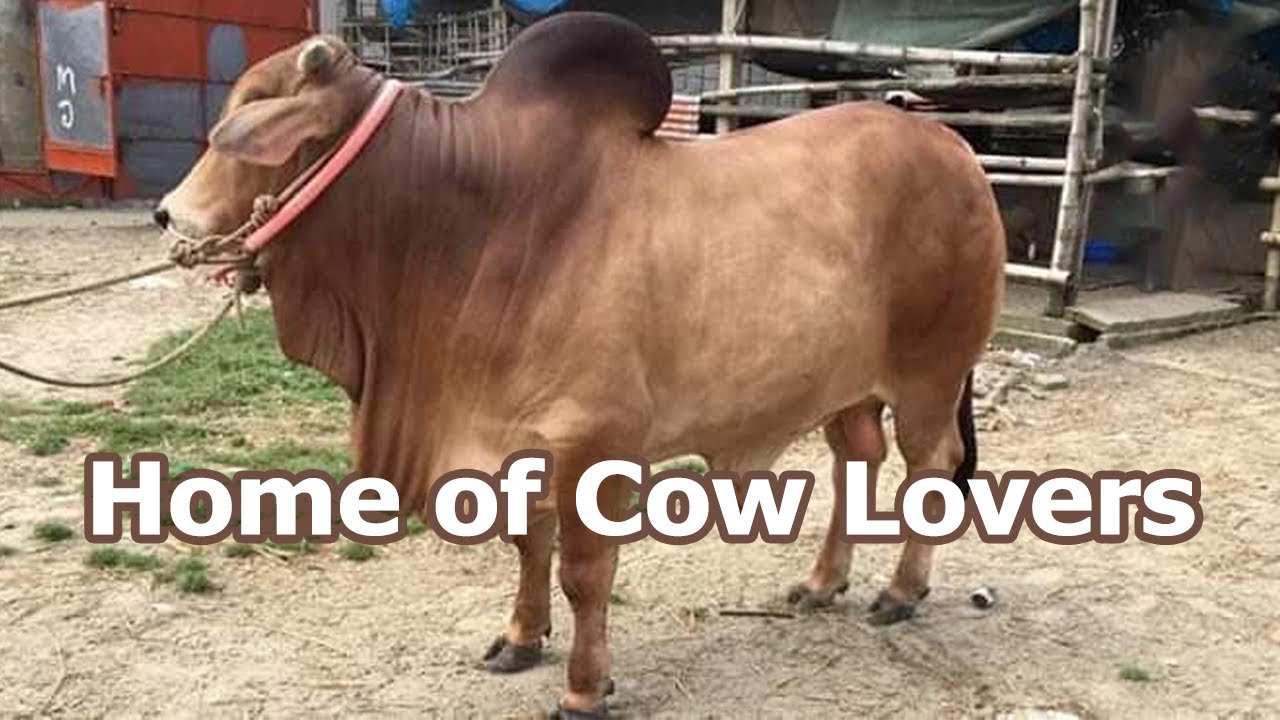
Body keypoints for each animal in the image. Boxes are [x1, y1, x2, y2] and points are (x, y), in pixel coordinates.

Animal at [157, 13, 1005, 717]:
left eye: (238, 128)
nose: (166, 214)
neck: (472, 223)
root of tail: (952, 145)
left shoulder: (597, 443)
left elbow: (584, 573)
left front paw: (584, 688)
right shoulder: (517, 441)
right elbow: (528, 545)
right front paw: (521, 639)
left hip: (931, 371)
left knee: (930, 463)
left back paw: (900, 590)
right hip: (846, 385)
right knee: (856, 460)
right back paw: (824, 582)